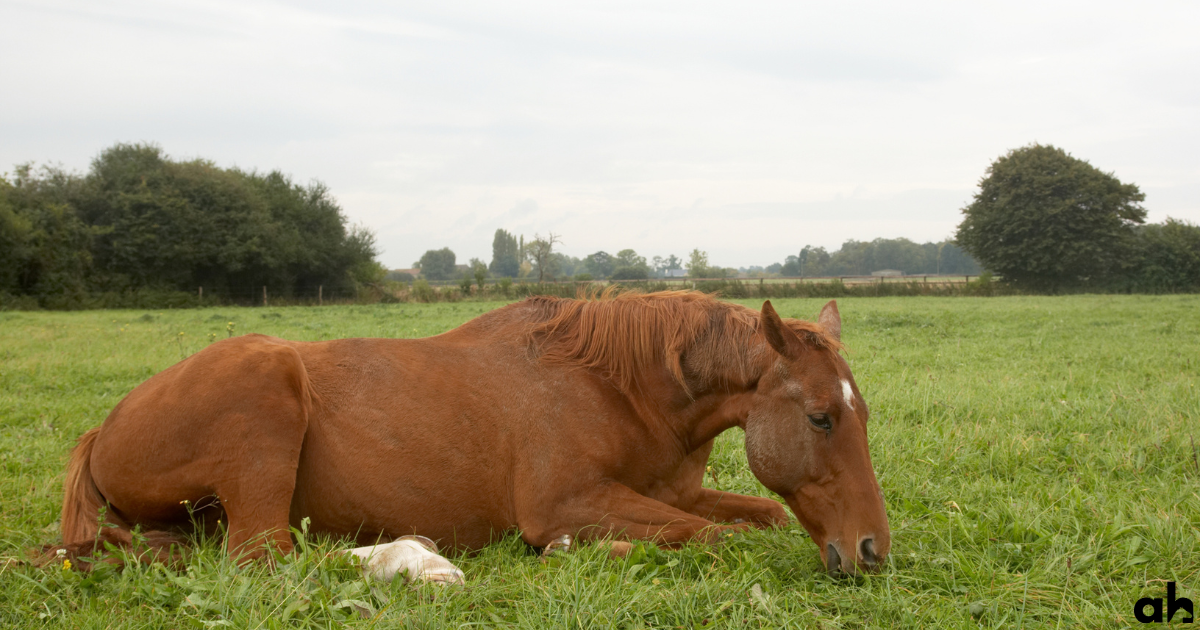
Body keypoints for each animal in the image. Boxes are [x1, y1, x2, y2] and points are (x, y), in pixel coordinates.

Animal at [58, 291, 889, 575]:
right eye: (820, 416)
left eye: (862, 415)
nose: (872, 550)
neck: (619, 389)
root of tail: (102, 429)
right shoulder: (567, 504)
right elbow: (709, 538)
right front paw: (579, 552)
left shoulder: (675, 493)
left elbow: (760, 514)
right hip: (267, 397)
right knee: (269, 554)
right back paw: (411, 559)